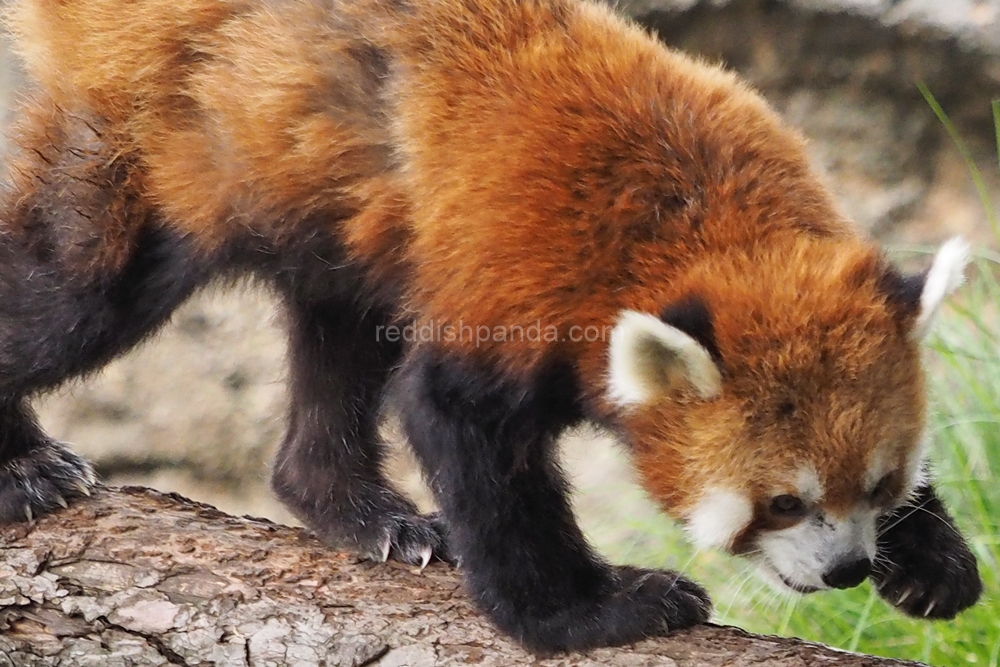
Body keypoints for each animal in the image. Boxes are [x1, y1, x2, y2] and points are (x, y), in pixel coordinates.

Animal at [0, 0, 984, 652]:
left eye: (879, 482)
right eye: (781, 501)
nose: (847, 569)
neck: (696, 224)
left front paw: (933, 559)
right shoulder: (522, 277)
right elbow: (457, 422)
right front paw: (590, 610)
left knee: (339, 342)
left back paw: (365, 512)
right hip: (159, 147)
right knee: (74, 294)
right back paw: (23, 466)